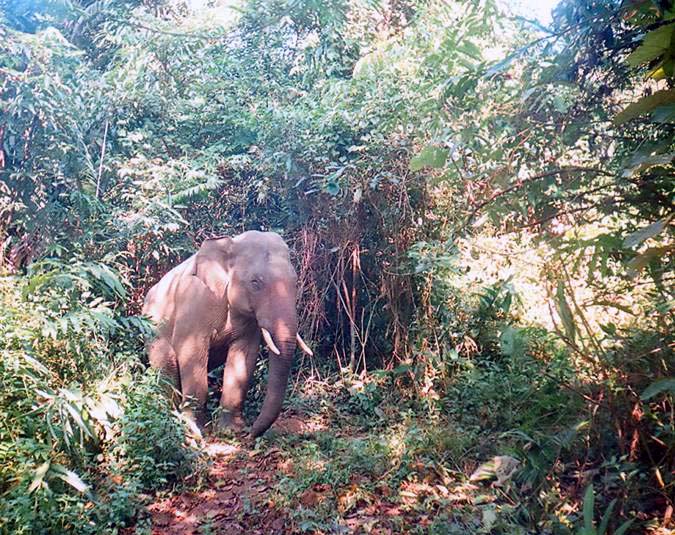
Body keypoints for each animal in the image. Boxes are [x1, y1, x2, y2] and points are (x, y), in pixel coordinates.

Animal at [142, 230, 313, 438]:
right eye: (255, 282)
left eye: (295, 281)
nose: (250, 433)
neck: (229, 244)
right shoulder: (194, 302)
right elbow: (190, 352)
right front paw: (194, 431)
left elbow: (243, 356)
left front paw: (231, 431)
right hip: (152, 333)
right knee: (167, 365)